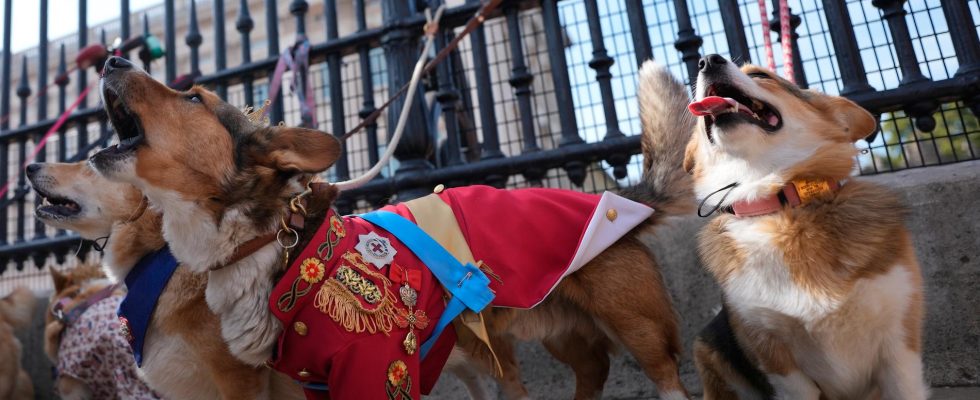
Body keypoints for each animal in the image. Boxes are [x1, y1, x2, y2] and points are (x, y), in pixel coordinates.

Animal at [86, 57, 696, 400]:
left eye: (193, 98)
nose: (113, 55)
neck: (276, 242)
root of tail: (614, 200)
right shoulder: (315, 383)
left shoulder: (375, 369)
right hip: (559, 331)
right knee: (592, 370)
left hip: (637, 325)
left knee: (665, 375)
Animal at [680, 54, 928, 400]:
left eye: (760, 75)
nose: (706, 59)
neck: (781, 208)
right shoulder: (778, 360)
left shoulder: (900, 344)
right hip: (708, 351)